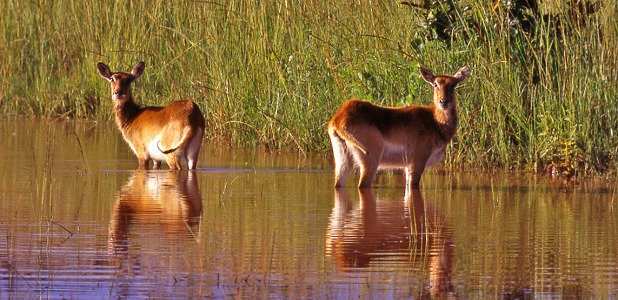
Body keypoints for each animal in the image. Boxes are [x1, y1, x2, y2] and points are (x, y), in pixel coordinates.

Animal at [328, 66, 466, 188]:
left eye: (453, 84)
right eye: (435, 84)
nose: (444, 102)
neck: (435, 122)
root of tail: (339, 119)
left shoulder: (407, 166)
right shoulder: (417, 163)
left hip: (343, 160)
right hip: (370, 160)